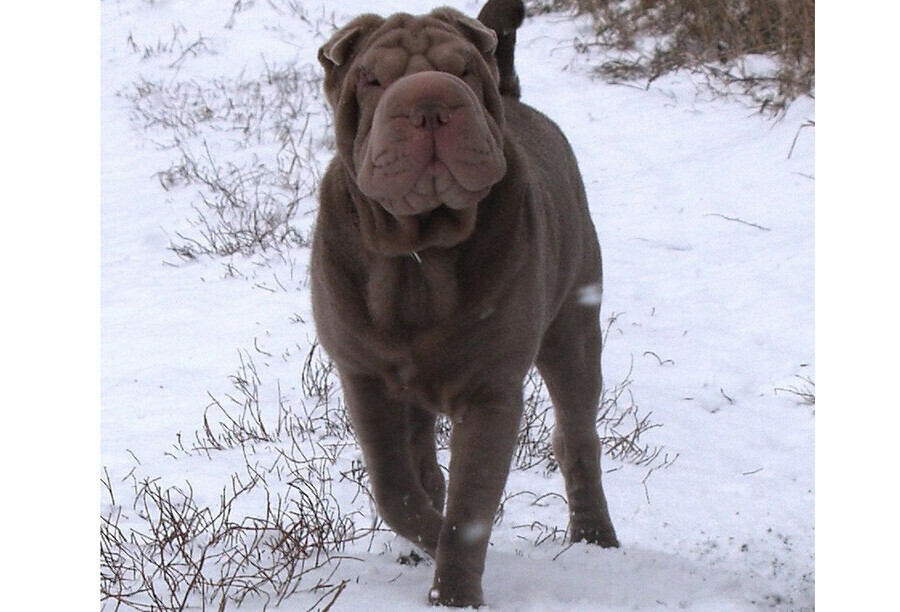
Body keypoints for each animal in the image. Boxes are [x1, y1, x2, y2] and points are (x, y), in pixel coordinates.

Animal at [312, 0, 620, 604]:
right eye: (373, 78)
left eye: (463, 71)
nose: (431, 99)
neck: (419, 256)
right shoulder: (364, 379)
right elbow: (395, 488)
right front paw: (428, 544)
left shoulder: (489, 393)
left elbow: (469, 509)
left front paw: (454, 594)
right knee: (422, 468)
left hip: (573, 329)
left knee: (577, 435)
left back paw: (596, 536)